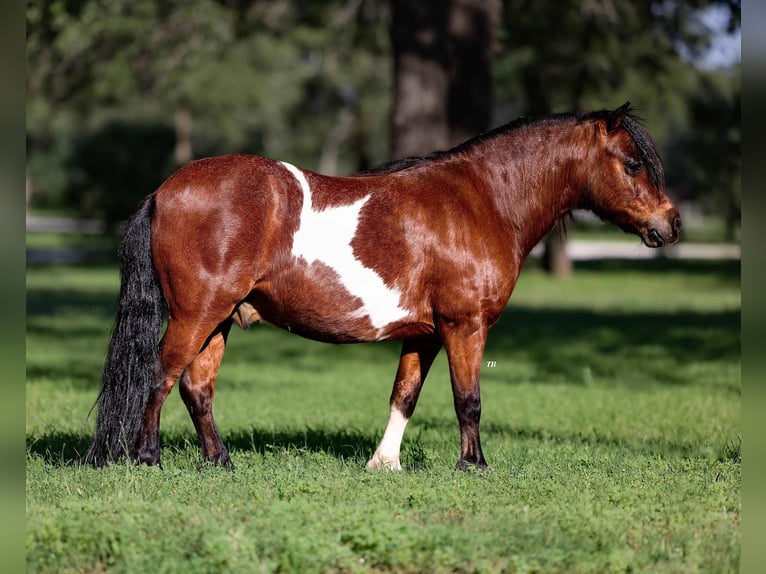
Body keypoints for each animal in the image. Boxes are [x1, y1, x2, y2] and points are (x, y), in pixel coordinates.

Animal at [85, 103, 684, 472]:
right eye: (633, 163)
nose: (672, 224)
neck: (482, 200)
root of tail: (165, 190)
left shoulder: (425, 333)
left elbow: (405, 394)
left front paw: (385, 463)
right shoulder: (465, 325)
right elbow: (469, 399)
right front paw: (474, 465)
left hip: (222, 319)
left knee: (196, 387)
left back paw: (221, 462)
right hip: (196, 313)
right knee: (160, 375)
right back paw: (148, 457)